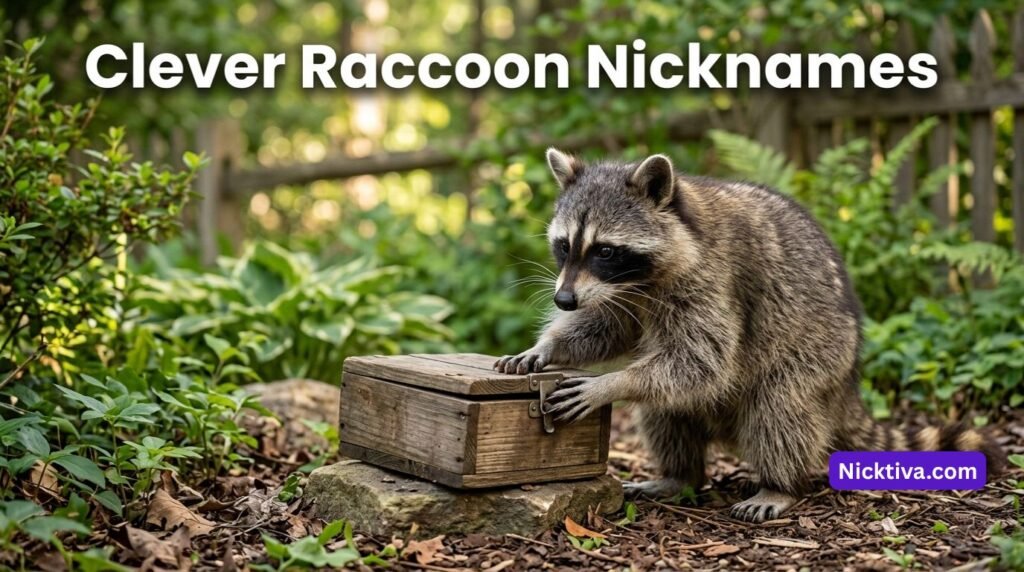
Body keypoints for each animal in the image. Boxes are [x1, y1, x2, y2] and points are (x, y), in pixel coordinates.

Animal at [494, 148, 1005, 522]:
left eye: (604, 250)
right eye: (564, 246)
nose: (562, 300)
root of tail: (847, 387)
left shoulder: (711, 279)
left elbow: (703, 360)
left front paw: (610, 383)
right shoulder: (621, 294)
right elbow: (607, 328)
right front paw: (548, 345)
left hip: (821, 354)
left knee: (779, 407)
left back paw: (779, 484)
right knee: (665, 411)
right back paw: (680, 475)